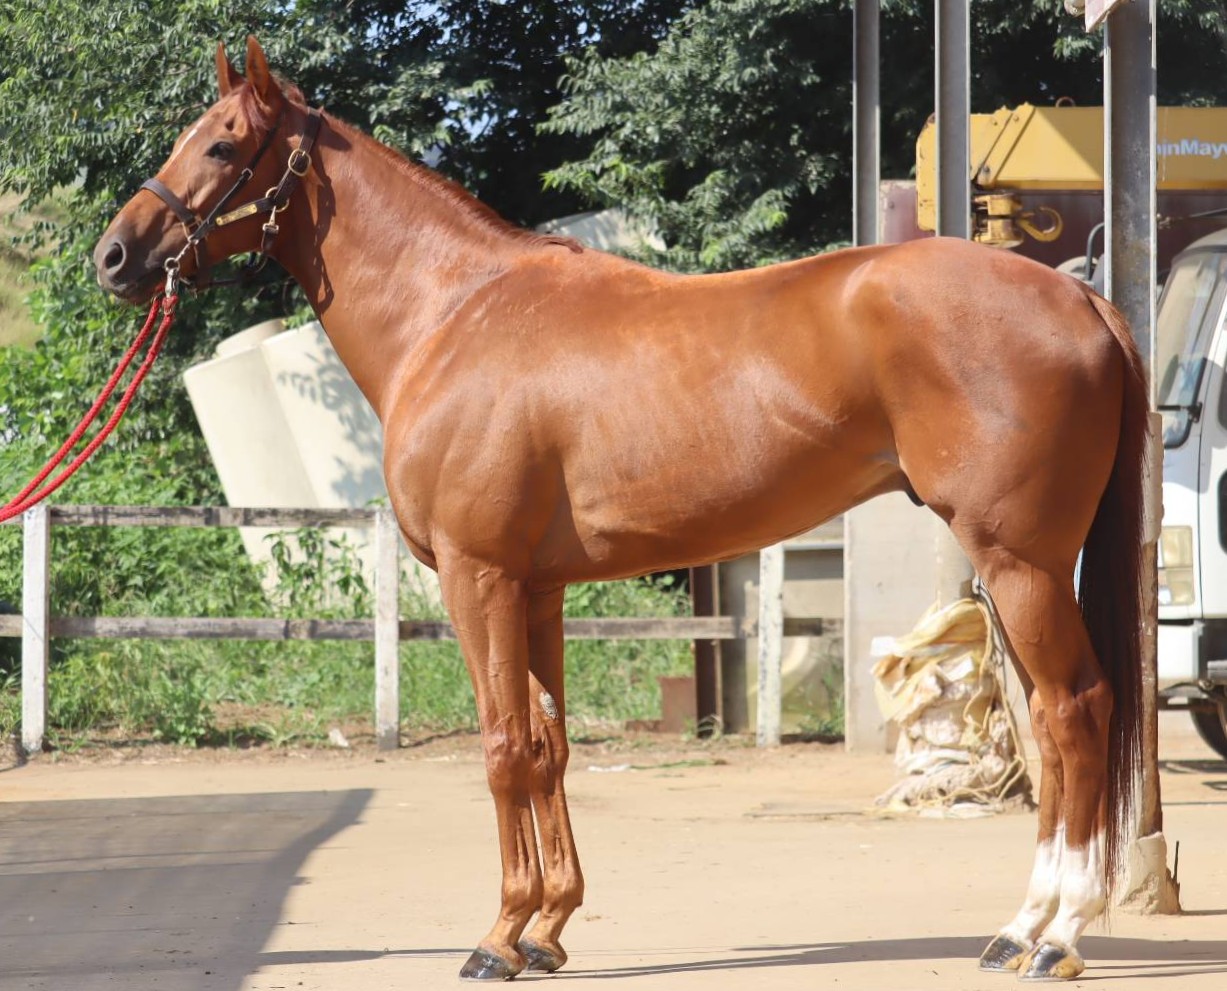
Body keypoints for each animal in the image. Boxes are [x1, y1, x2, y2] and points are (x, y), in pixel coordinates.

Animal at [94, 36, 1148, 983]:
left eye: (223, 145)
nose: (115, 254)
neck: (454, 313)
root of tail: (1079, 300)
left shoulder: (480, 577)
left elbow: (502, 746)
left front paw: (497, 935)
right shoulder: (540, 589)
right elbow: (549, 744)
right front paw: (548, 927)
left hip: (1019, 565)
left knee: (1073, 712)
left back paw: (1053, 932)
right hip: (1015, 575)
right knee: (1052, 720)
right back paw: (1021, 927)